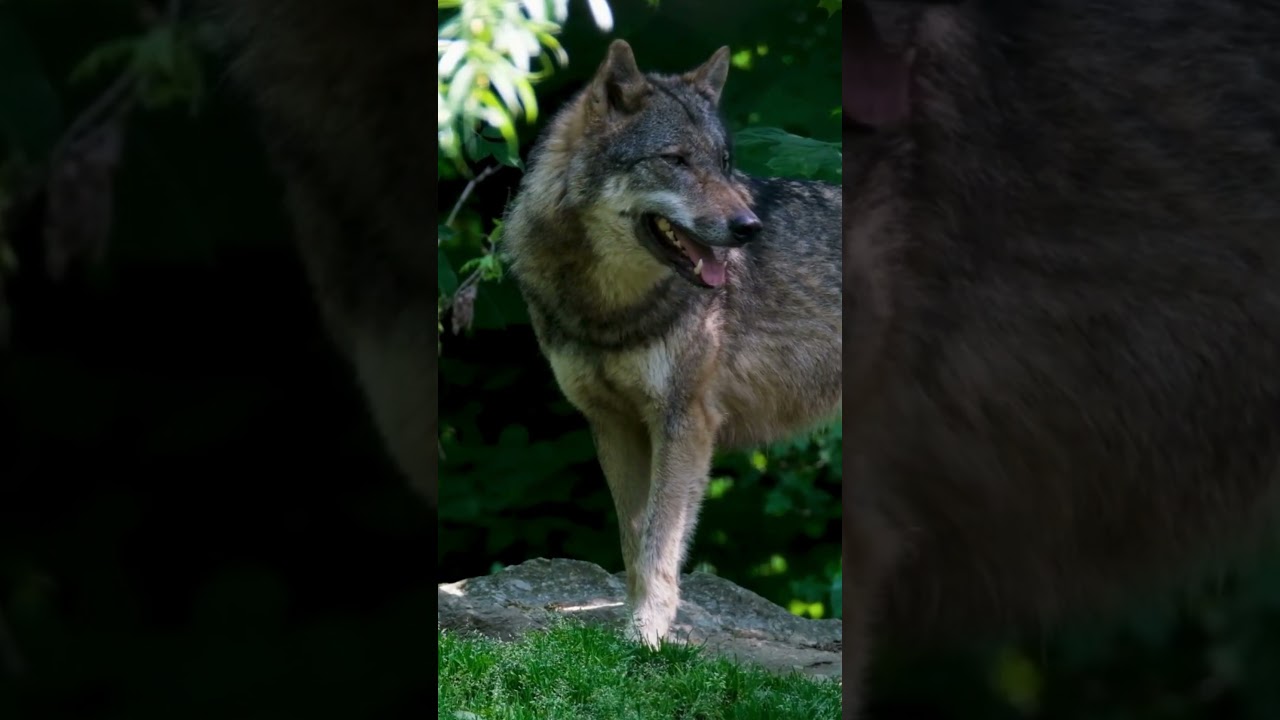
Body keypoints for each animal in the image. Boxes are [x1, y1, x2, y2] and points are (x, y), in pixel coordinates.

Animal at [502, 40, 842, 646]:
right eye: (677, 160)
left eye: (724, 163)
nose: (749, 227)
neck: (610, 310)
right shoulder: (612, 423)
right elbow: (633, 539)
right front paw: (636, 629)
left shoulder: (684, 421)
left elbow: (660, 539)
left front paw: (649, 633)